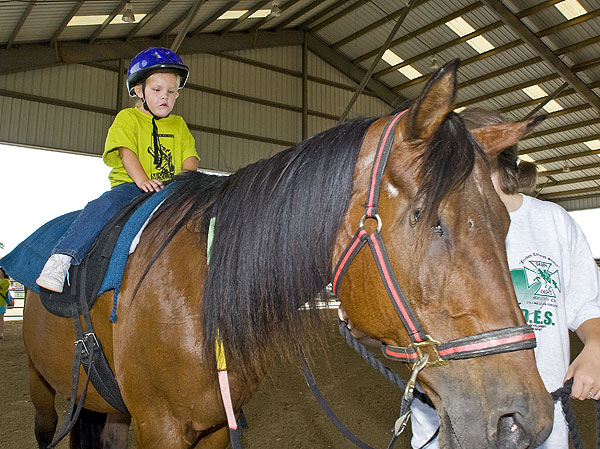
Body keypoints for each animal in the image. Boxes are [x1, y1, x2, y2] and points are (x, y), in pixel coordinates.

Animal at [22, 60, 552, 448]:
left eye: (505, 224)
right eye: (429, 219)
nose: (524, 420)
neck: (200, 292)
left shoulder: (217, 426)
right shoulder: (160, 428)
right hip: (43, 389)